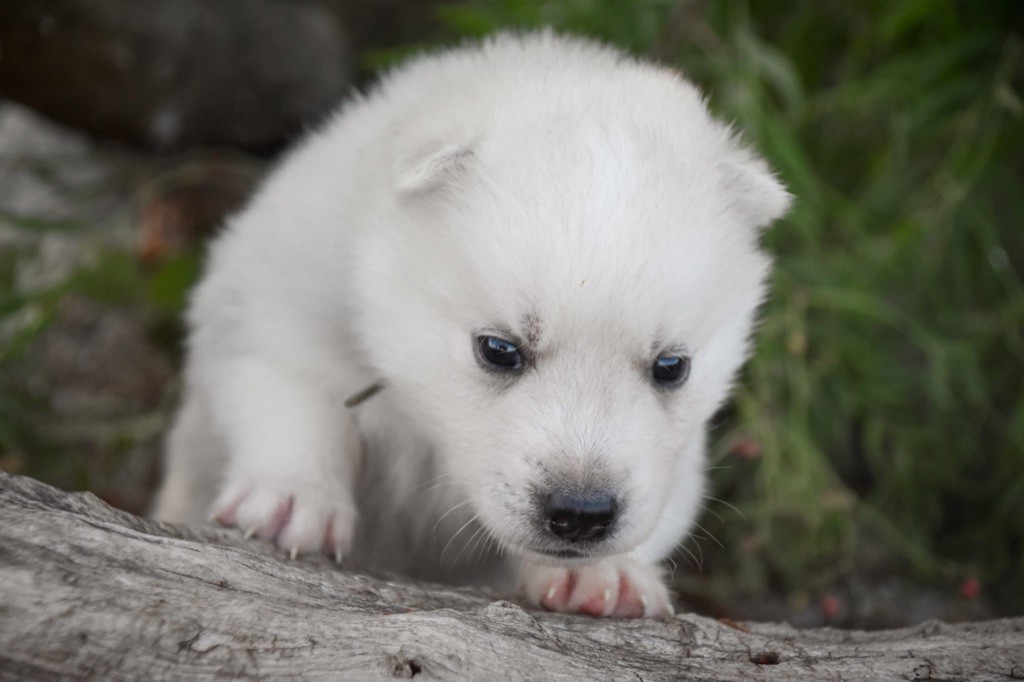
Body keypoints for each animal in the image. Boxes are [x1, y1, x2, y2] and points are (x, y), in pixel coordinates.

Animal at [153, 31, 790, 614]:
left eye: (671, 366)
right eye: (499, 350)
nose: (581, 514)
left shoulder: (680, 456)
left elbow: (669, 497)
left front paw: (603, 574)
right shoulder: (274, 305)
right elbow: (294, 398)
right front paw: (292, 501)